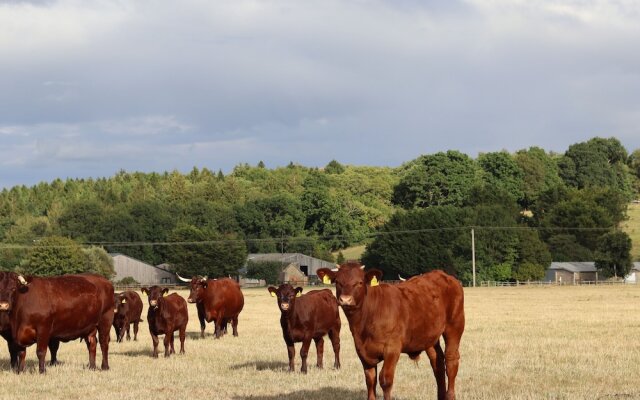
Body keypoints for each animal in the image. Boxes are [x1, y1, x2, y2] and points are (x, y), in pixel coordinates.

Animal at [318, 262, 464, 400]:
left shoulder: (392, 349)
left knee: (451, 360)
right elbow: (370, 380)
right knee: (437, 363)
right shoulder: (362, 351)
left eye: (359, 282)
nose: (345, 300)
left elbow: (385, 380)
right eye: (338, 282)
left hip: (454, 326)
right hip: (429, 337)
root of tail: (443, 275)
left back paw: (450, 395)